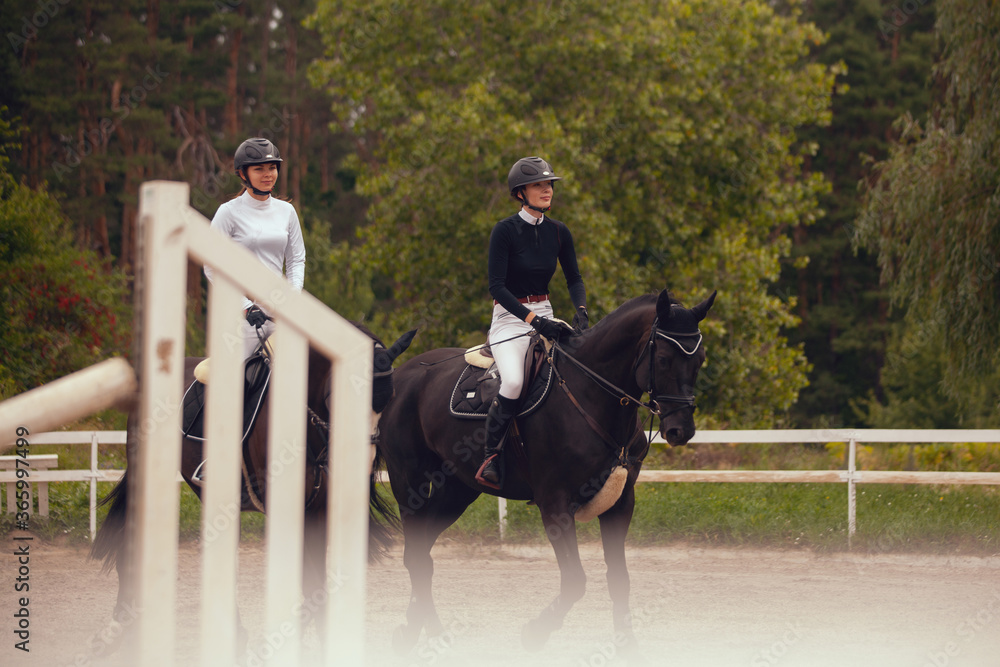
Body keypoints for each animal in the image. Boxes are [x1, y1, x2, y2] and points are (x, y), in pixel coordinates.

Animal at [376, 288, 712, 656]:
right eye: (663, 358)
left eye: (700, 359)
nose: (681, 430)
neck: (591, 395)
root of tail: (405, 373)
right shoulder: (555, 505)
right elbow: (575, 581)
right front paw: (535, 633)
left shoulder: (621, 504)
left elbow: (619, 579)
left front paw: (627, 647)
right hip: (410, 484)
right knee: (415, 555)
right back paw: (423, 635)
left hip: (457, 491)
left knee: (422, 552)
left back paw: (420, 632)